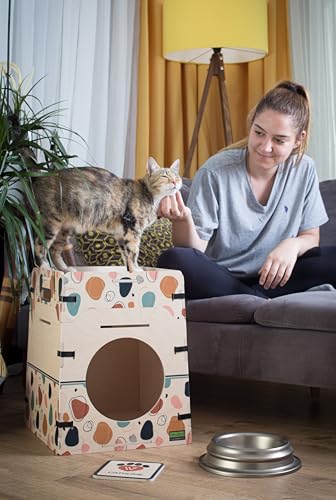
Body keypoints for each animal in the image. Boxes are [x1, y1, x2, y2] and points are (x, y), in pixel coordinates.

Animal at [32, 158, 181, 272]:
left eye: (176, 176)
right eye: (164, 176)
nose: (175, 182)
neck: (151, 196)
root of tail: (38, 179)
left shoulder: (121, 233)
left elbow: (126, 253)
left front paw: (131, 269)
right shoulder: (132, 227)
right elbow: (134, 252)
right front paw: (136, 270)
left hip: (65, 230)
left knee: (54, 251)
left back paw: (65, 269)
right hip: (51, 223)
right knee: (39, 246)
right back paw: (44, 267)